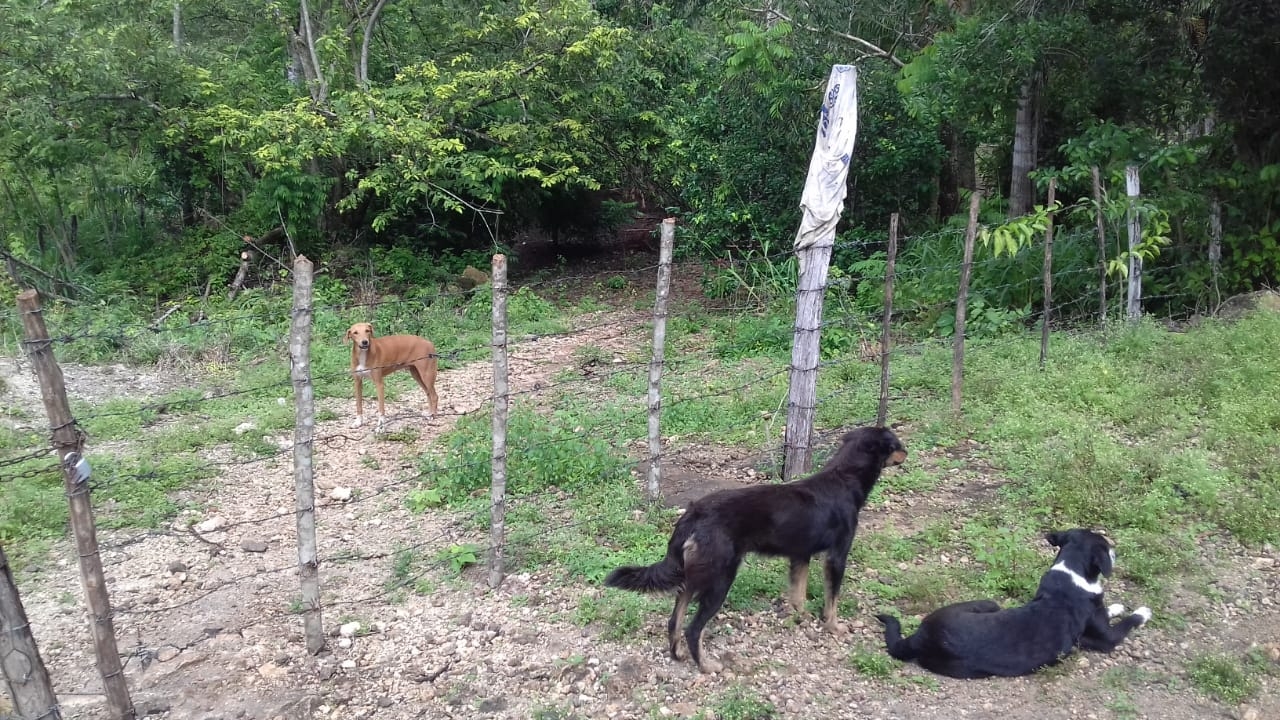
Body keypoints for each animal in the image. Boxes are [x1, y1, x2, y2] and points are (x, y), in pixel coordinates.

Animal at [604, 422, 906, 671]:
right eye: (896, 444)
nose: (908, 452)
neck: (845, 477)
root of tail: (693, 514)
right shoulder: (836, 557)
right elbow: (832, 600)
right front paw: (834, 626)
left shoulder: (800, 556)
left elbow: (798, 595)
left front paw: (802, 617)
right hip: (720, 580)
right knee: (693, 629)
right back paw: (707, 666)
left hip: (696, 576)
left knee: (674, 620)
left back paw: (678, 655)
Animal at [880, 527, 1152, 671]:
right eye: (1106, 546)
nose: (1116, 551)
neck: (1071, 572)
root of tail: (920, 637)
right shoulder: (1106, 639)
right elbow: (1128, 621)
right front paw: (1142, 612)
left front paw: (1115, 606)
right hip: (990, 603)